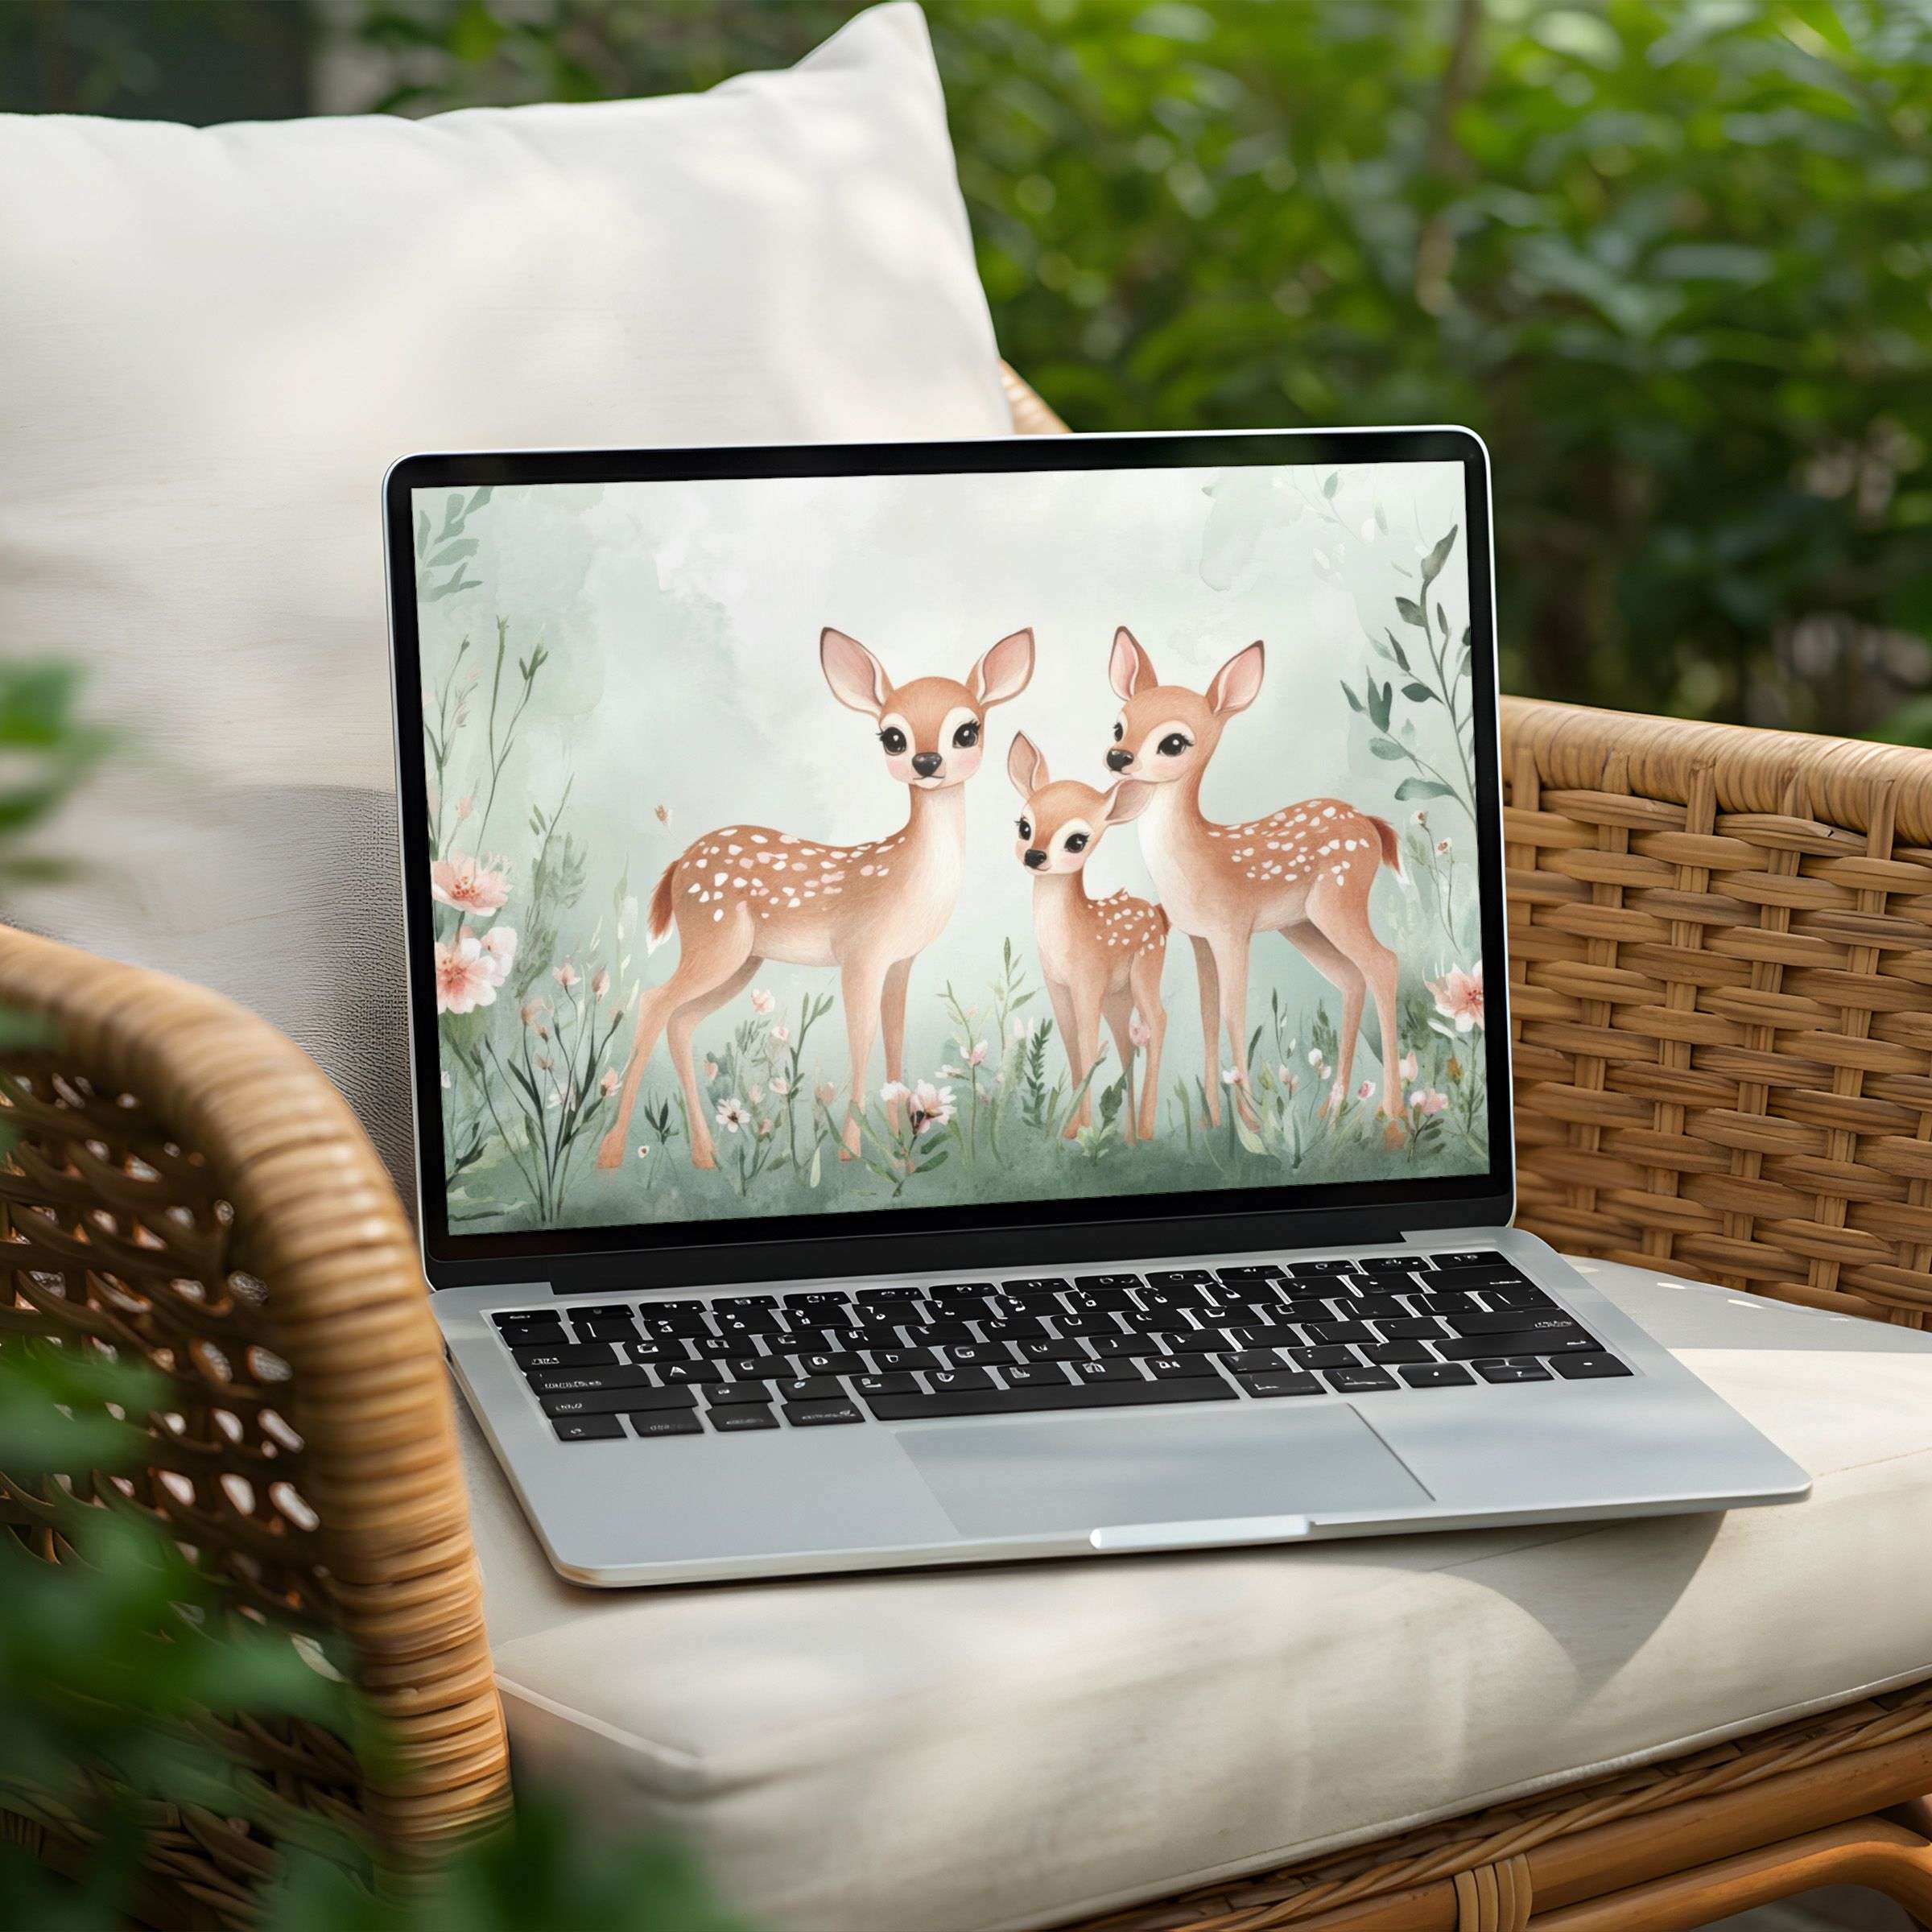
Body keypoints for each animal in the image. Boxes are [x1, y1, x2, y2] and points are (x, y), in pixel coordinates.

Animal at [596, 625, 1035, 1172]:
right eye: (893, 737)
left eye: (968, 731)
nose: (926, 762)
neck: (908, 877)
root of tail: (678, 864)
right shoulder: (860, 953)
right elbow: (861, 1039)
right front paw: (851, 1151)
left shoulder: (900, 961)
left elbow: (894, 1038)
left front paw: (901, 1151)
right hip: (715, 940)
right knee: (655, 1002)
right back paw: (612, 1152)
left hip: (740, 961)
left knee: (681, 1022)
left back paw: (706, 1156)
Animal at [1006, 732, 1168, 1144]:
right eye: (1024, 826)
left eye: (1077, 841)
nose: (1035, 855)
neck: (1070, 936)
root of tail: (1160, 916)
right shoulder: (1058, 985)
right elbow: (1071, 1044)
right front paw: (1070, 1133)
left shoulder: (1087, 980)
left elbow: (1088, 1045)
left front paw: (1083, 1131)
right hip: (1117, 996)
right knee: (1127, 1041)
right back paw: (1128, 1138)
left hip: (1146, 969)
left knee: (1158, 1021)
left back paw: (1146, 1131)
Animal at [1102, 627, 1402, 1130]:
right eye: (1118, 726)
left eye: (1174, 743)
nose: (1117, 757)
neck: (1195, 858)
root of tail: (1371, 825)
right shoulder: (1199, 937)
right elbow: (1208, 1014)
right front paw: (1212, 1121)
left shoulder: (1233, 928)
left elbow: (1234, 1013)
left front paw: (1251, 1122)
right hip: (1302, 925)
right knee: (1350, 979)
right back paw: (1332, 1110)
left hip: (1339, 900)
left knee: (1384, 963)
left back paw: (1392, 1116)